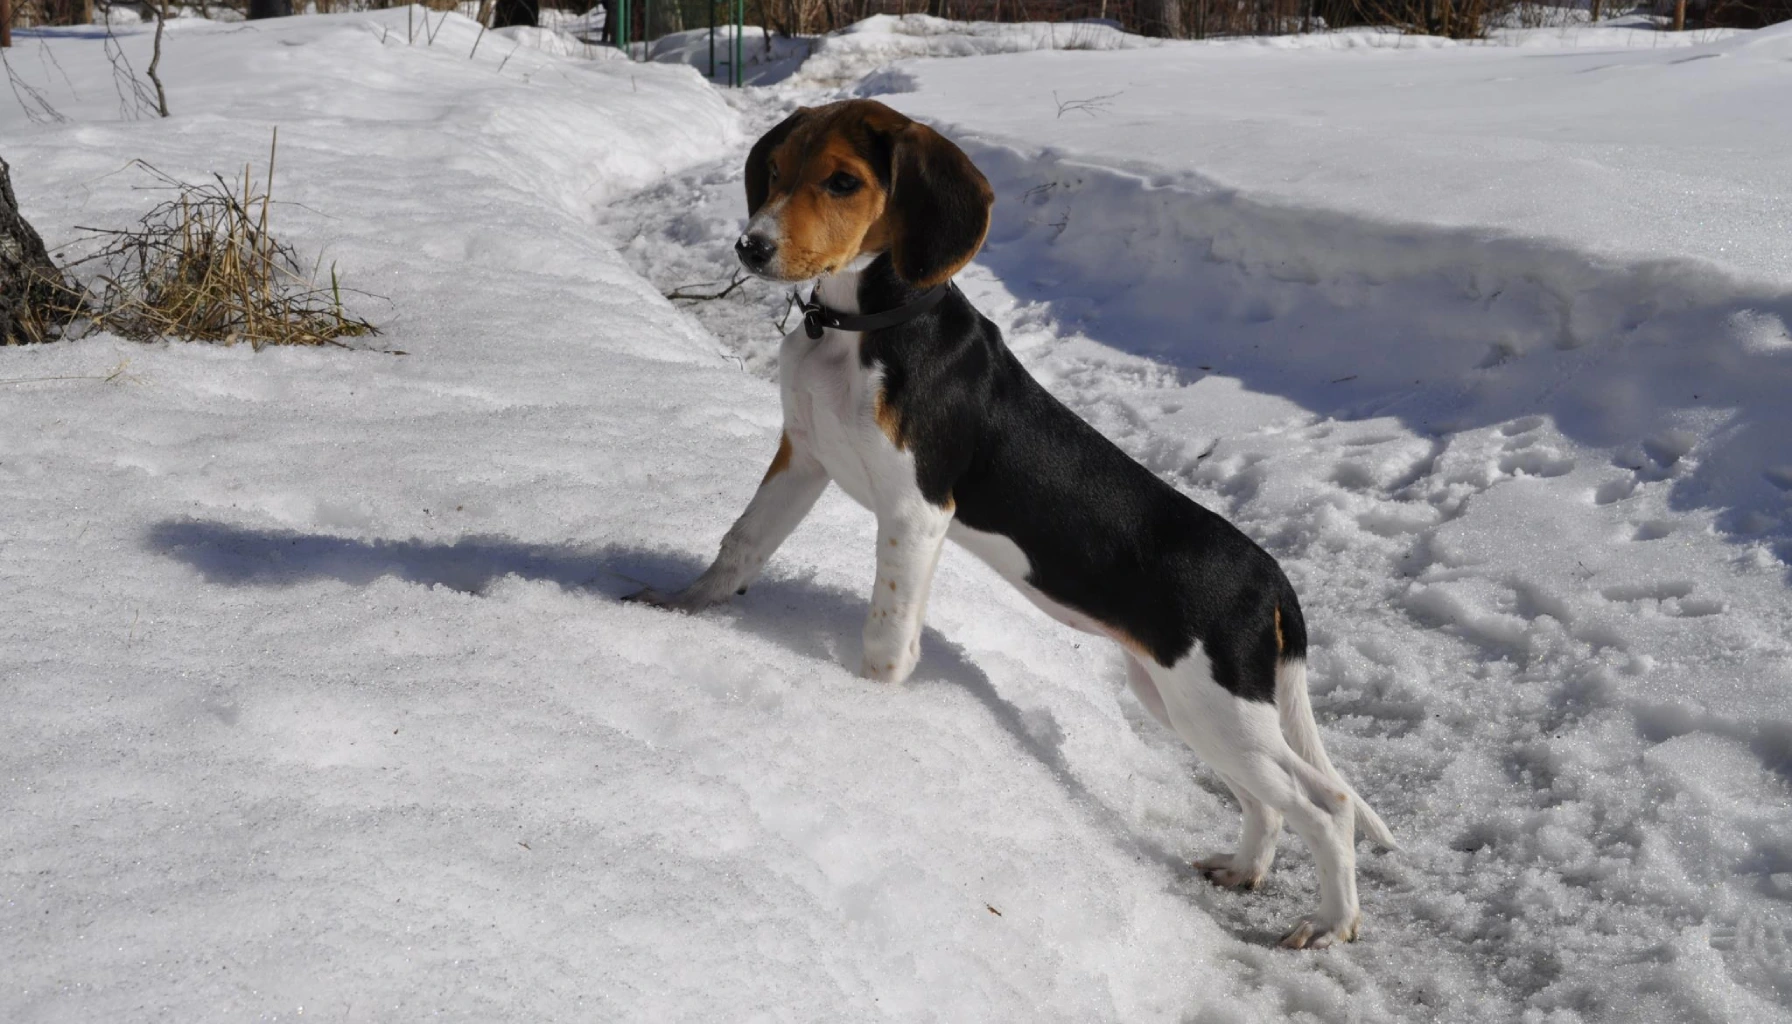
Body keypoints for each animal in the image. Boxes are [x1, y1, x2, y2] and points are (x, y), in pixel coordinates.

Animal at [630, 99, 1397, 946]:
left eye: (842, 182)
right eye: (774, 171)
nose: (751, 246)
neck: (862, 325)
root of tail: (1271, 578)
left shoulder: (916, 509)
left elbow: (886, 638)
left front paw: (868, 712)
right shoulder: (802, 459)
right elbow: (740, 545)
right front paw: (677, 608)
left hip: (1220, 704)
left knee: (1328, 805)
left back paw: (1329, 924)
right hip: (1185, 703)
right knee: (1266, 800)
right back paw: (1245, 870)